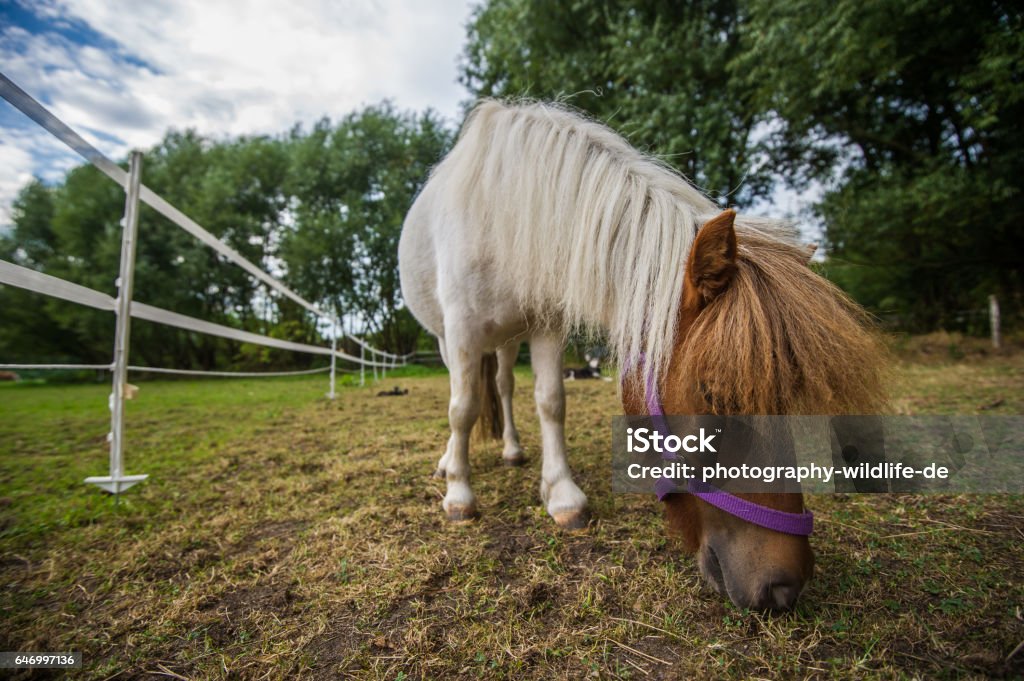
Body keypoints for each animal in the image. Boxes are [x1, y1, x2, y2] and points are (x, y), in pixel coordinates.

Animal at [395, 100, 884, 610]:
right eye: (715, 396)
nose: (785, 587)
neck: (502, 215)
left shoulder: (546, 325)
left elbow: (551, 402)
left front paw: (562, 495)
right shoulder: (462, 332)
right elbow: (463, 409)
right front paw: (459, 495)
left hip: (510, 341)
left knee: (506, 386)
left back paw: (512, 450)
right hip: (450, 340)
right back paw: (450, 463)